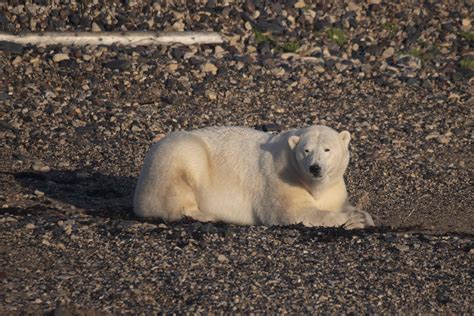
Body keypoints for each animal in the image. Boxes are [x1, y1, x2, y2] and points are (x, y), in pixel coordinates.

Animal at [133, 126, 374, 230]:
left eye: (327, 149)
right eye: (306, 150)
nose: (315, 168)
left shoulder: (334, 187)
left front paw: (363, 216)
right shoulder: (280, 180)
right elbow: (292, 212)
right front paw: (352, 220)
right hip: (176, 156)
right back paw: (208, 215)